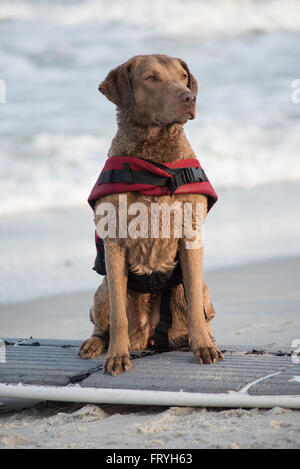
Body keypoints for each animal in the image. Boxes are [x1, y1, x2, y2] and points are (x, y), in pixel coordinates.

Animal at [78, 54, 224, 374]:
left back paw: (207, 338)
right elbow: (119, 314)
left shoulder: (191, 235)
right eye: (151, 78)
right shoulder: (114, 242)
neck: (155, 164)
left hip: (197, 291)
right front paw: (116, 356)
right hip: (101, 291)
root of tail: (150, 336)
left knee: (200, 308)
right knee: (103, 323)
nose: (189, 97)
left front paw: (204, 347)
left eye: (183, 77)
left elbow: (195, 306)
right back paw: (94, 345)